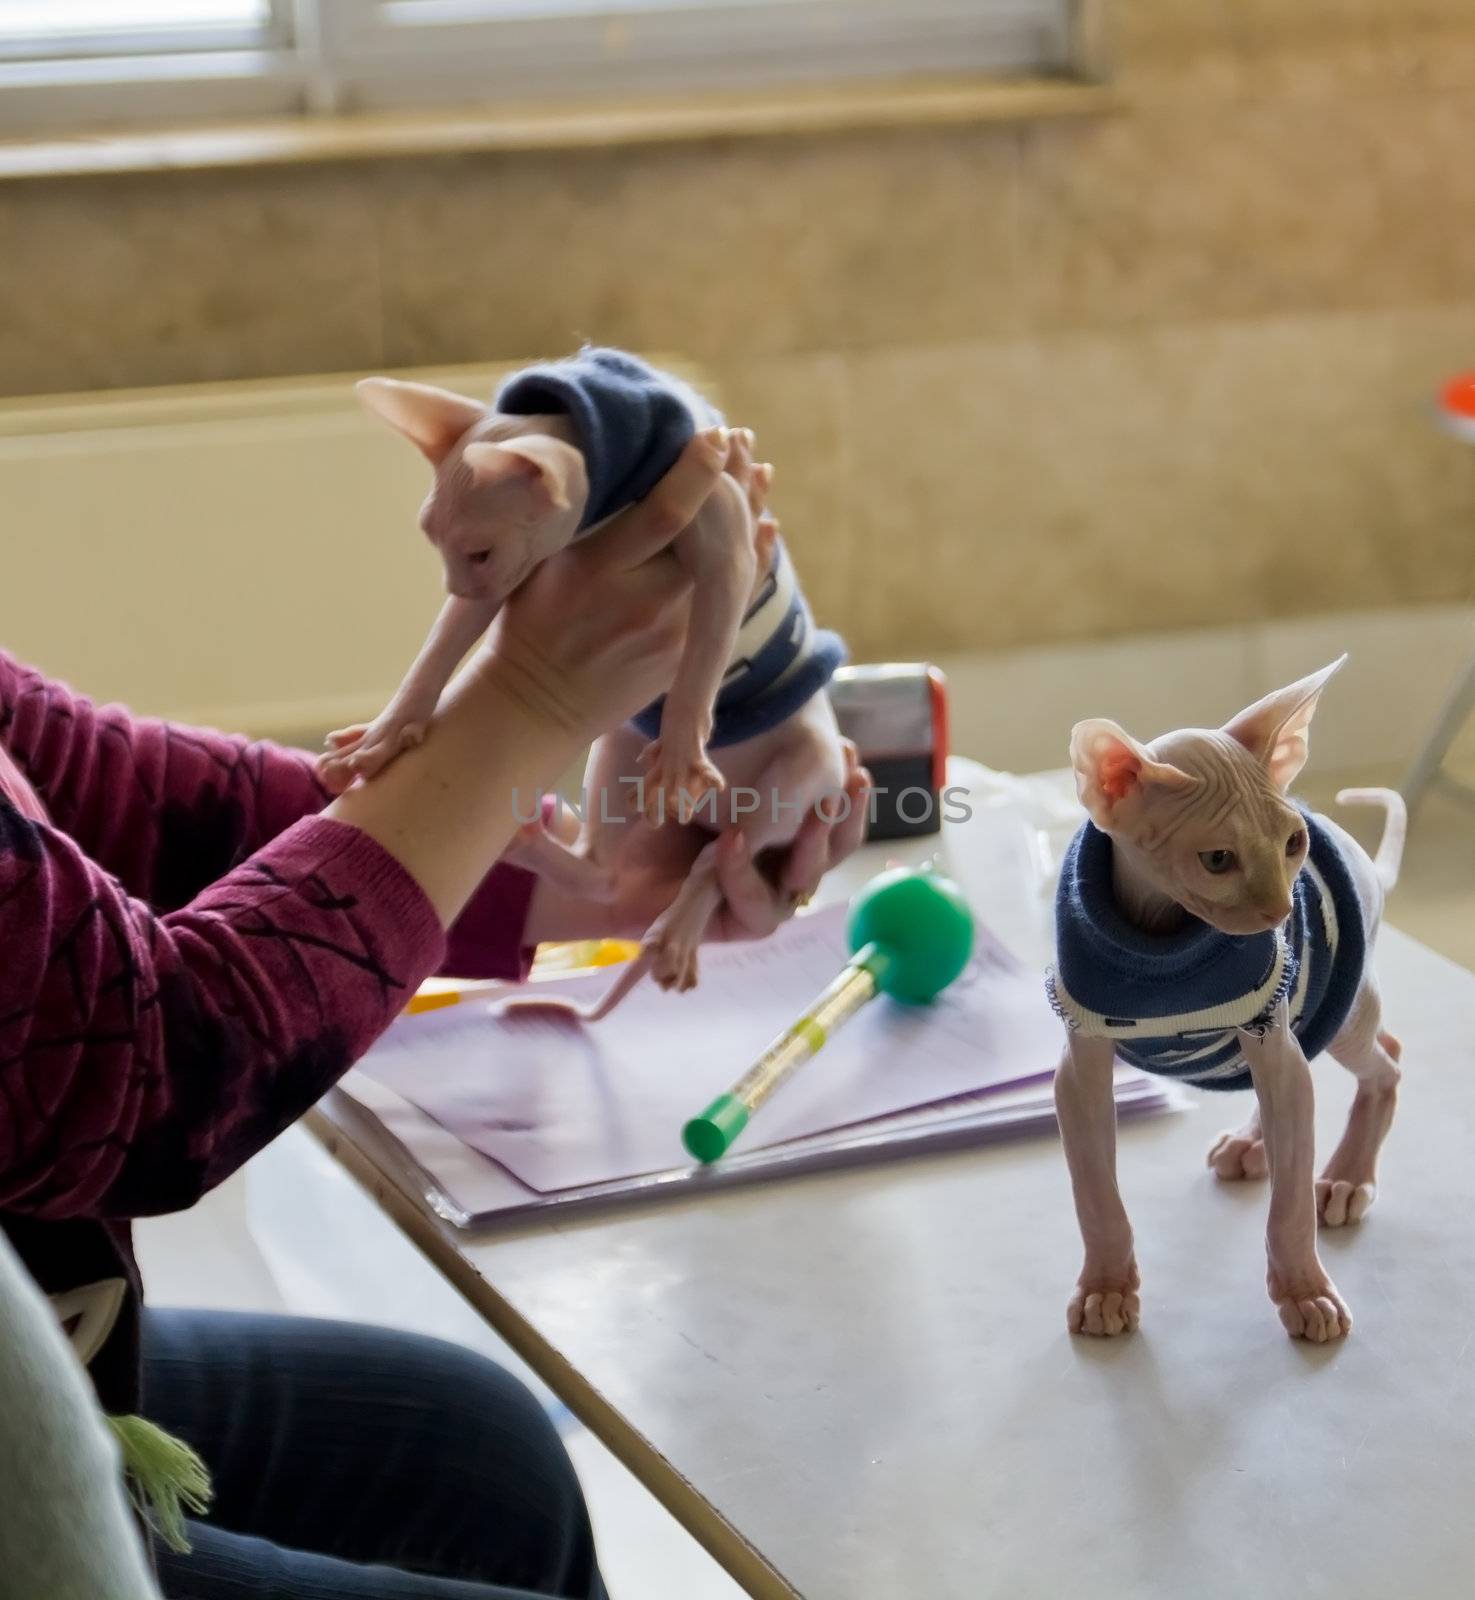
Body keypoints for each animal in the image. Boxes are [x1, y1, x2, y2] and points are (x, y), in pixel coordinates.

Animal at [1049, 656, 1401, 1344]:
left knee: (1382, 1060)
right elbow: (1094, 1193)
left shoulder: (1266, 1018)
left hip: (1337, 1008)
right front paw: (1106, 1288)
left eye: (1293, 843)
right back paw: (1254, 1143)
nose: (1280, 912)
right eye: (1217, 859)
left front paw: (1305, 1293)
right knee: (1301, 1073)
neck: (1159, 939)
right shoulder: (1080, 1065)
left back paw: (1346, 1176)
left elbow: (1290, 1204)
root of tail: (1369, 869)